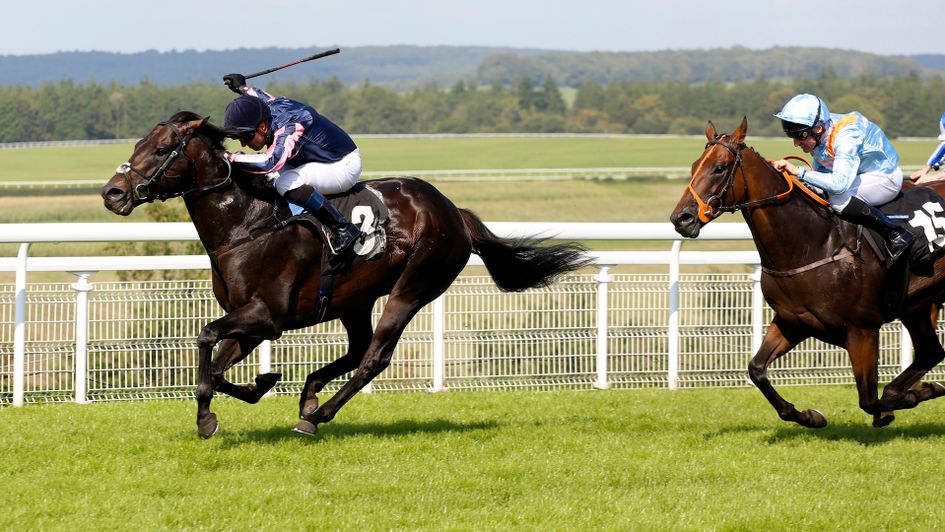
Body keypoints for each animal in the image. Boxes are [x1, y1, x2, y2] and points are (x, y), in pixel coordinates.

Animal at [99, 111, 588, 436]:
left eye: (162, 150)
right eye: (136, 146)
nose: (112, 193)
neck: (245, 225)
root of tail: (453, 211)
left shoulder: (267, 317)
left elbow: (204, 338)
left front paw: (206, 419)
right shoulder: (253, 322)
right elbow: (218, 368)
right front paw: (262, 383)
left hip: (413, 288)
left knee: (373, 357)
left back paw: (317, 416)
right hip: (354, 299)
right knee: (356, 351)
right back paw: (310, 395)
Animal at [668, 117, 944, 428]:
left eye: (719, 167)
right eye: (694, 166)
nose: (681, 218)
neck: (814, 242)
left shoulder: (862, 329)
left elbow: (869, 399)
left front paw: (914, 395)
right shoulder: (793, 321)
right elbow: (756, 369)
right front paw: (811, 417)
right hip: (917, 305)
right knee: (931, 351)